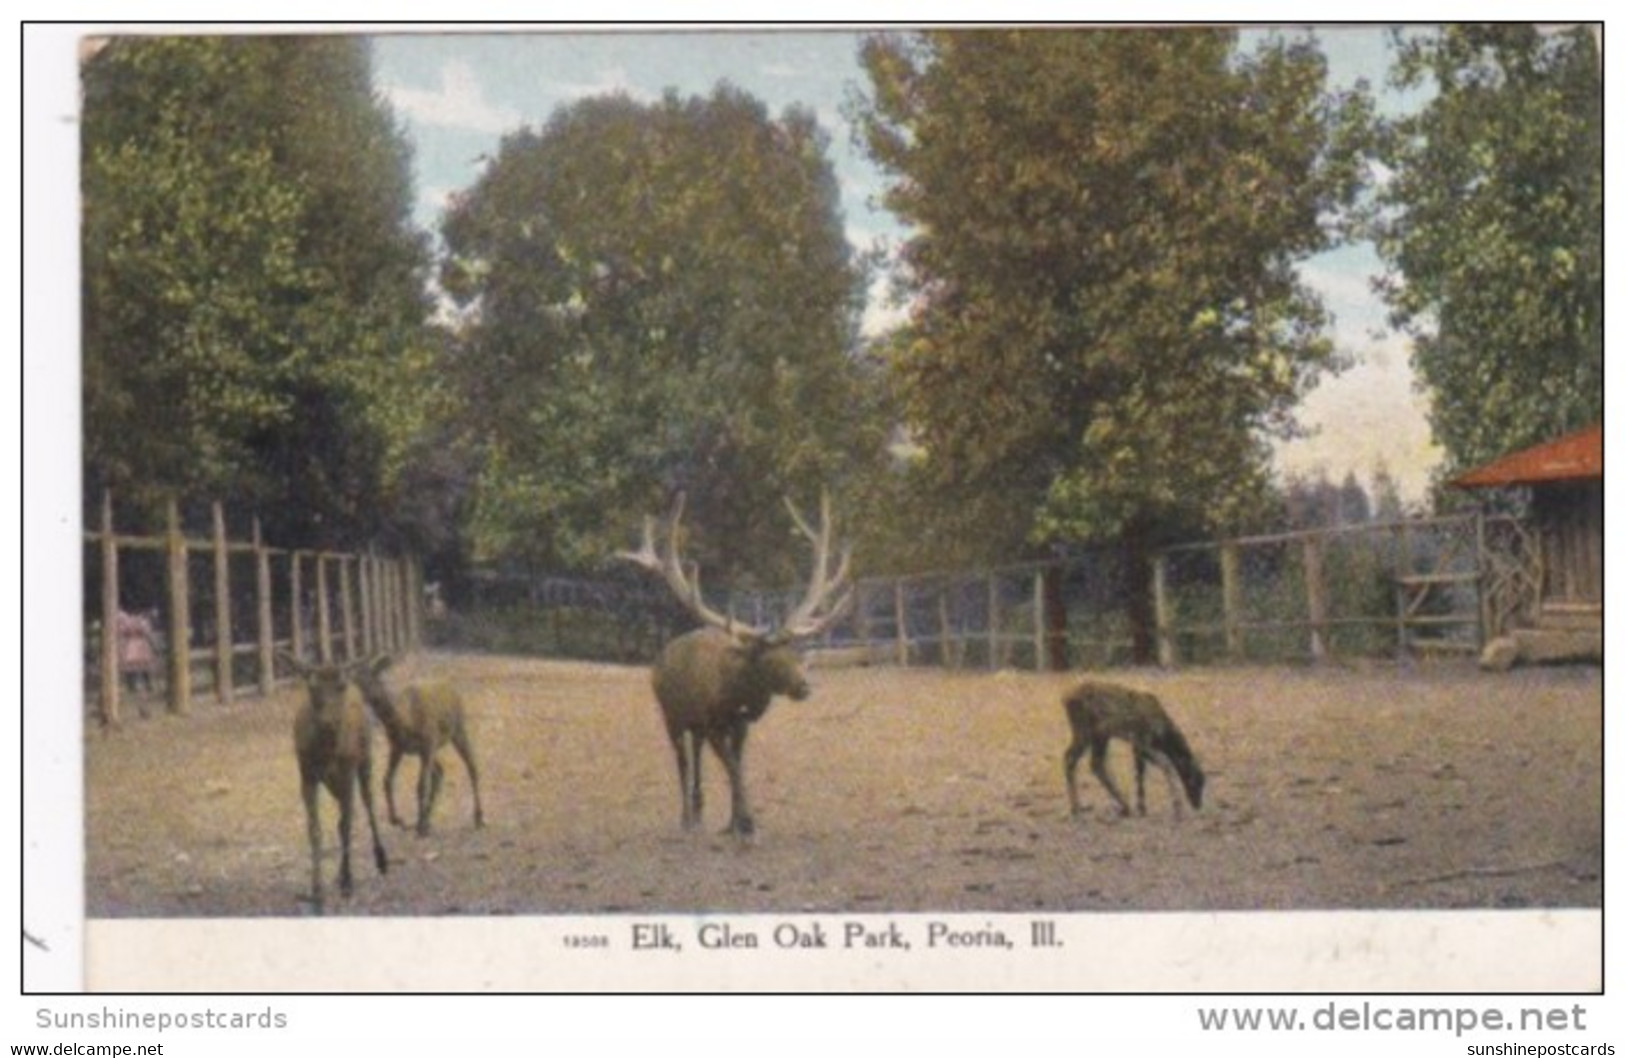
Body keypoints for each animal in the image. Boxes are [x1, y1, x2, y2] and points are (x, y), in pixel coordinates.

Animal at [282, 650, 390, 916]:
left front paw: (348, 883)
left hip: (365, 759)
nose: (328, 722)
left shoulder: (347, 771)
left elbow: (347, 824)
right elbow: (315, 830)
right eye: (312, 687)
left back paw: (381, 860)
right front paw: (317, 891)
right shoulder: (306, 774)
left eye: (341, 686)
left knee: (368, 804)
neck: (327, 753)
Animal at [349, 653, 481, 838]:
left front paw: (419, 827)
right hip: (432, 747)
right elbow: (387, 780)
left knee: (471, 766)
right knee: (439, 772)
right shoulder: (397, 747)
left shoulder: (427, 743)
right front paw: (398, 820)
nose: (352, 697)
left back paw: (478, 818)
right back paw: (427, 819)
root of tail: (453, 689)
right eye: (352, 678)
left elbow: (420, 785)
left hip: (458, 727)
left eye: (367, 678)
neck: (406, 720)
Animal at [617, 490, 858, 845]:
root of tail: (661, 657)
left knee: (696, 754)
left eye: (795, 652)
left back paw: (700, 812)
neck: (734, 696)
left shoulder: (738, 725)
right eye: (768, 657)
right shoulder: (714, 722)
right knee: (682, 760)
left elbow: (737, 764)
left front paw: (733, 823)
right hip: (671, 716)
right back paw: (686, 818)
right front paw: (747, 823)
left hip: (695, 723)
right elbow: (731, 765)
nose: (804, 685)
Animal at [1066, 682, 1209, 822]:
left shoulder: (1137, 746)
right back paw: (1077, 810)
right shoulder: (1143, 740)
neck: (1162, 734)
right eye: (1195, 780)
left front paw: (1142, 808)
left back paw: (1123, 807)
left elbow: (1140, 773)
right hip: (1085, 730)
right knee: (1070, 758)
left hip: (1100, 735)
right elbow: (1165, 763)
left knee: (1095, 764)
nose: (1197, 804)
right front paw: (1177, 809)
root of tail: (1065, 699)